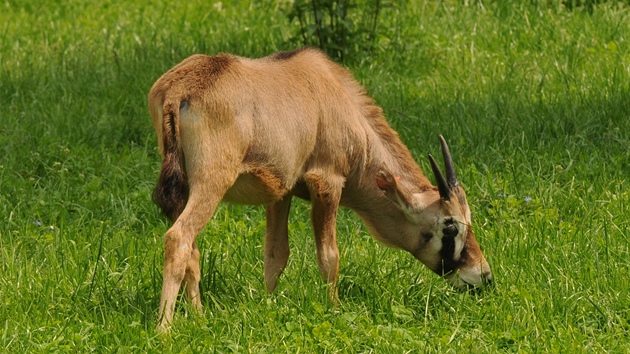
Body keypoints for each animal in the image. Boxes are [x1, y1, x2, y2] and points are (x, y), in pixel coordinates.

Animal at [148, 47, 494, 330]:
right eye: (450, 227)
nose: (484, 277)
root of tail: (180, 90)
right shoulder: (327, 182)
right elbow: (329, 255)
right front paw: (335, 309)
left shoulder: (281, 193)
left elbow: (275, 254)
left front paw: (268, 303)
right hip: (212, 182)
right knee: (179, 238)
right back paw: (164, 328)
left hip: (187, 189)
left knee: (192, 247)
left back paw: (198, 316)